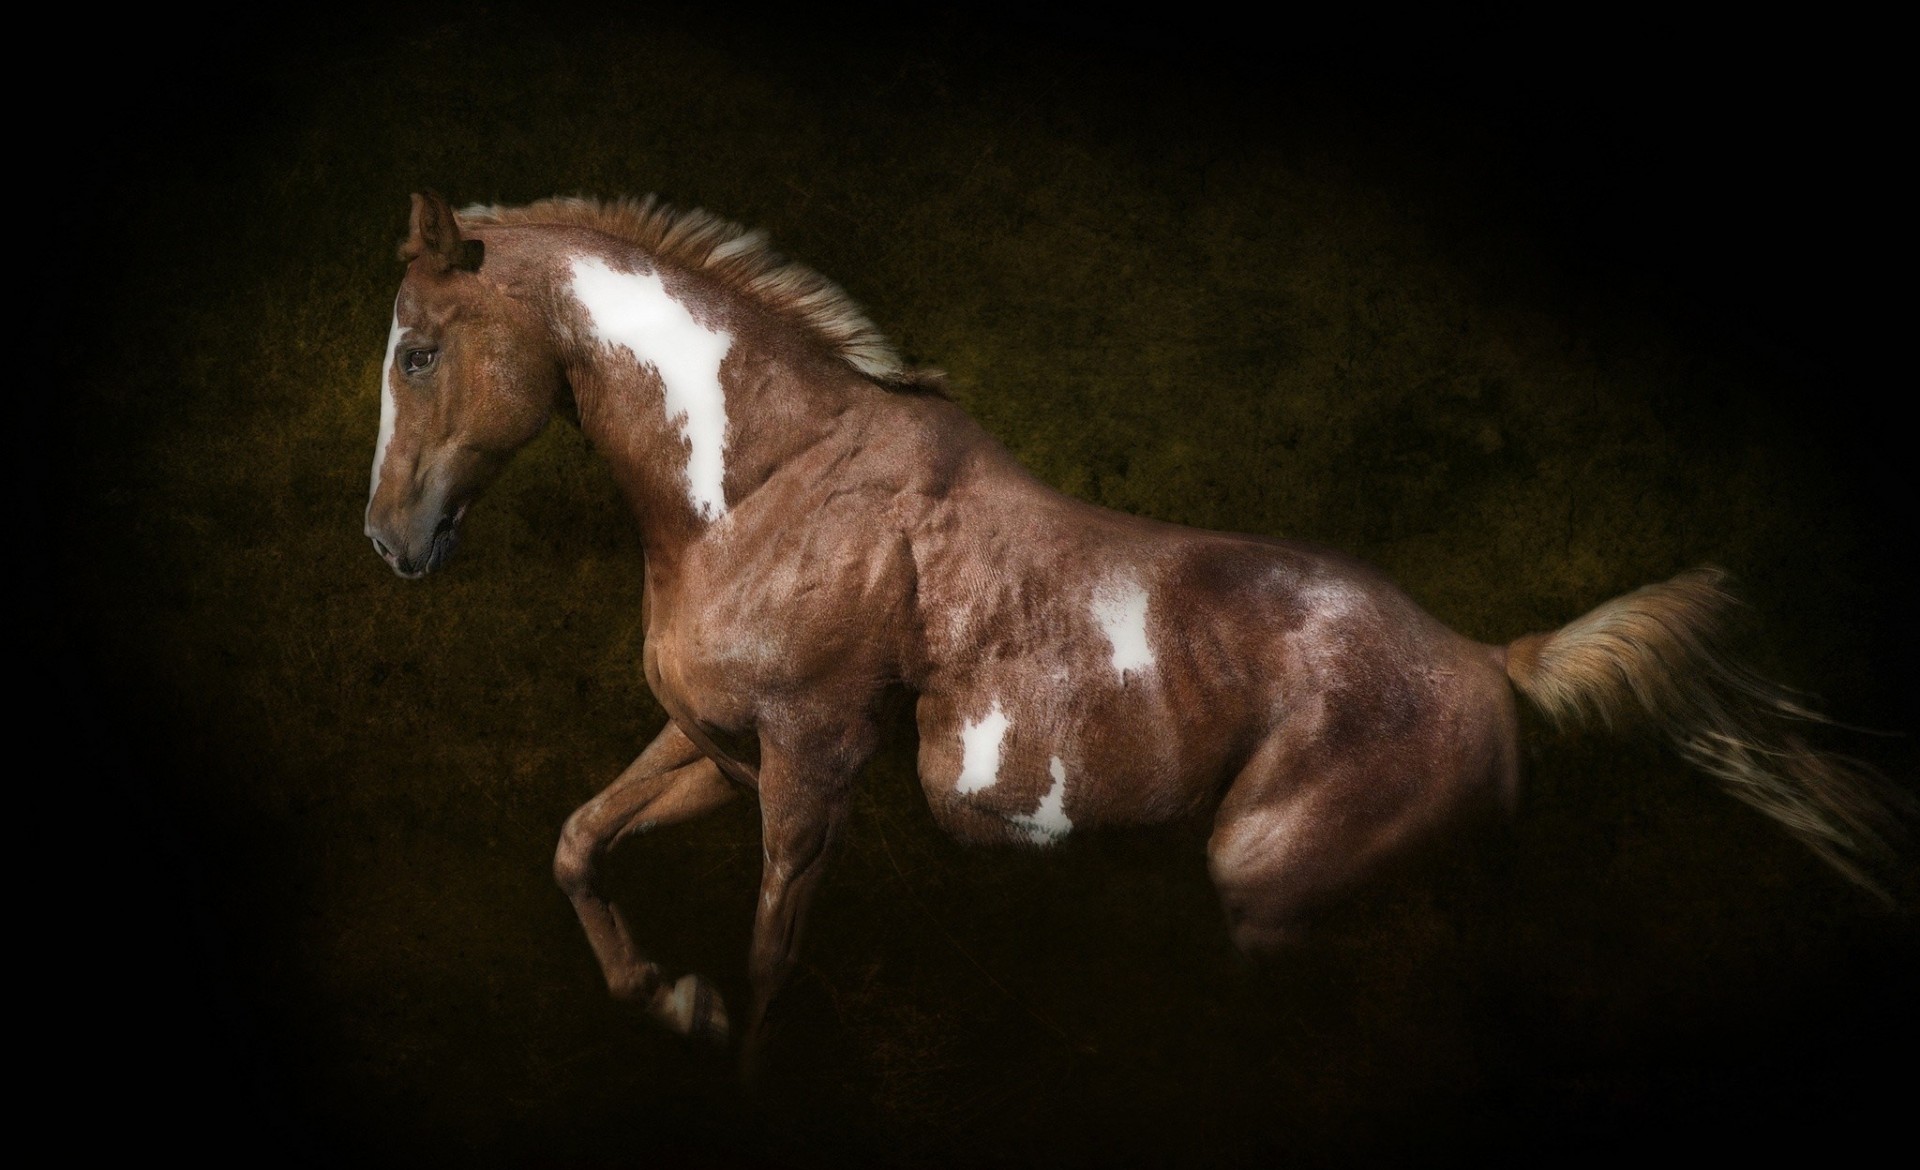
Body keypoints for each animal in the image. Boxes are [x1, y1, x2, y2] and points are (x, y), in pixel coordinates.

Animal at [363, 189, 1905, 1077]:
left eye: (419, 351)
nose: (390, 541)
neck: (768, 483)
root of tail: (1489, 663)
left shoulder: (810, 768)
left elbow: (773, 958)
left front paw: (725, 1035)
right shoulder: (719, 745)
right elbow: (578, 842)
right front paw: (668, 1001)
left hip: (1267, 886)